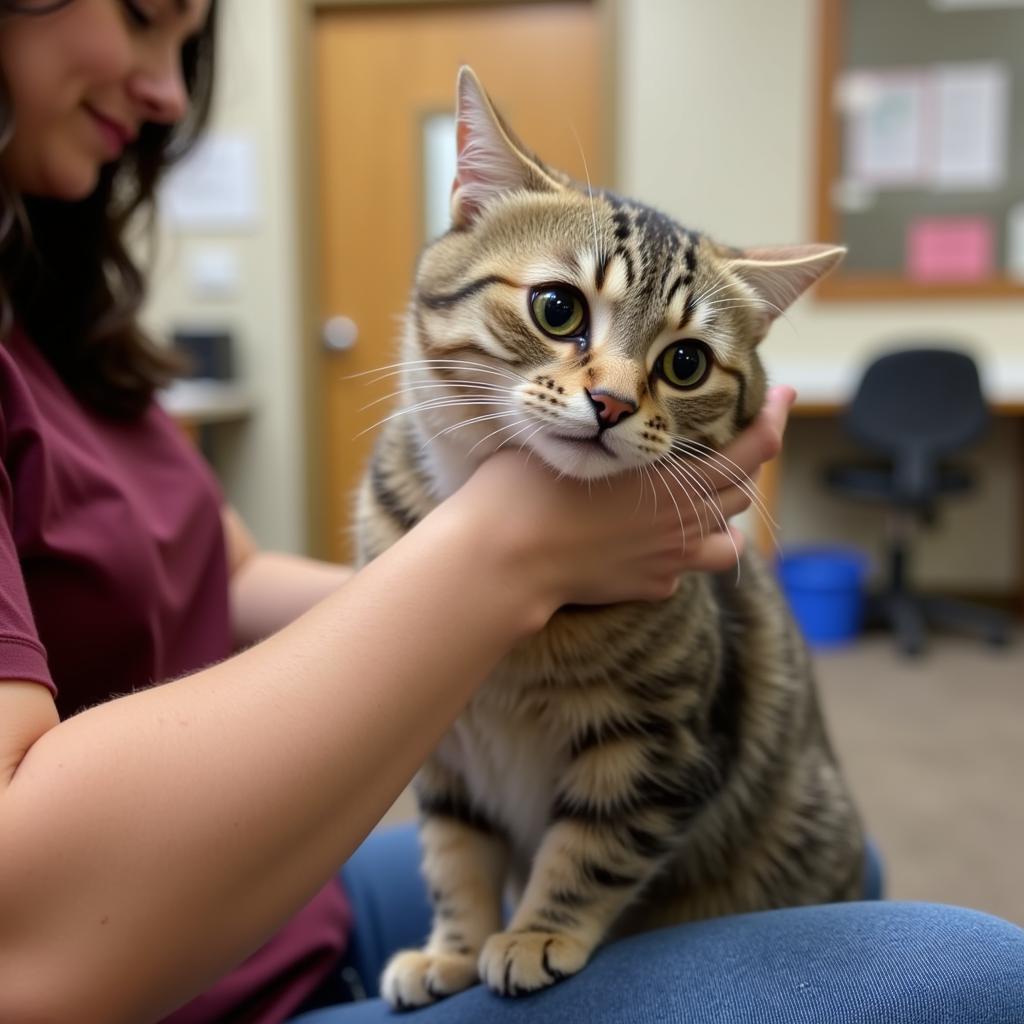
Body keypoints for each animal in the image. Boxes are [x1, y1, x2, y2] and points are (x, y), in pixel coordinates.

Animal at [356, 70, 868, 1007]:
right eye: (557, 309)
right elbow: (455, 854)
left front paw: (535, 934)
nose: (613, 403)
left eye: (686, 363)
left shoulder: (656, 743)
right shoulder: (445, 753)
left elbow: (592, 848)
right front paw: (453, 947)